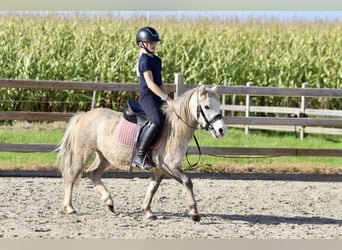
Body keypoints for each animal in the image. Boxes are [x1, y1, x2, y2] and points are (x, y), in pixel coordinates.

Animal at [55, 85, 227, 221]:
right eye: (206, 107)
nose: (221, 130)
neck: (176, 128)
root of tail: (83, 115)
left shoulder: (161, 169)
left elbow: (152, 188)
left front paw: (147, 211)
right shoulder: (169, 166)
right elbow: (187, 182)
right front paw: (194, 213)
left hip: (104, 156)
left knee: (93, 173)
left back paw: (109, 203)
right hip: (83, 153)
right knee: (72, 174)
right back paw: (69, 207)